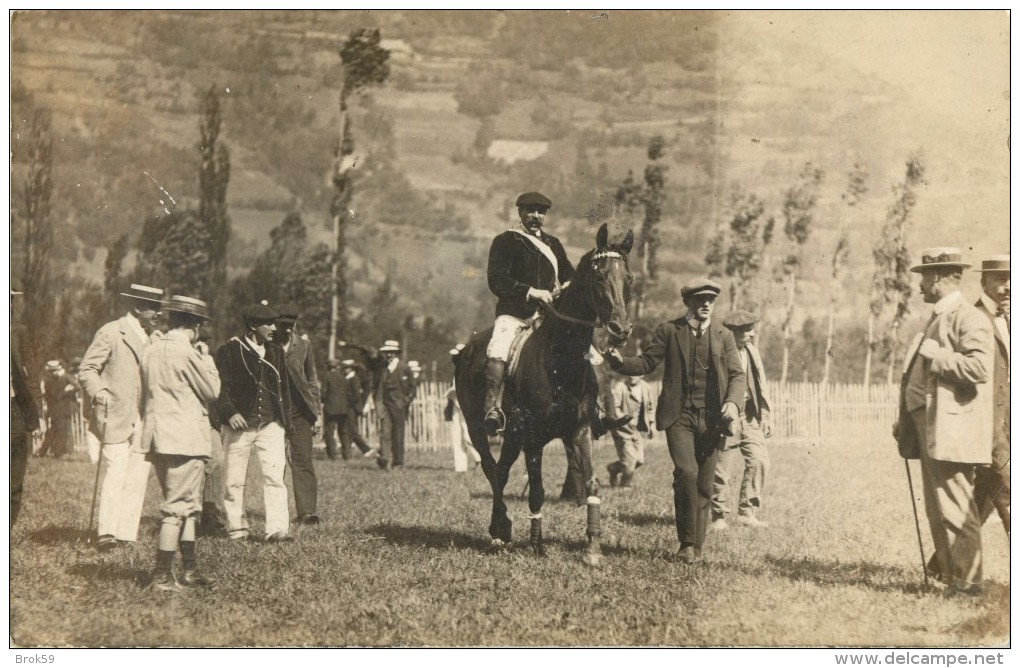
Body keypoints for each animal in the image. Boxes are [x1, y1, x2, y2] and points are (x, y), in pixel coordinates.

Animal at [452, 222, 628, 562]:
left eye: (628, 278)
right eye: (600, 277)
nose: (621, 329)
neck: (560, 357)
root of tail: (465, 350)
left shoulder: (579, 431)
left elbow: (591, 483)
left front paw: (593, 546)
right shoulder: (532, 437)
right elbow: (537, 490)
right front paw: (536, 543)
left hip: (512, 435)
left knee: (501, 471)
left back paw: (501, 528)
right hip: (480, 426)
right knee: (493, 469)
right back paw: (500, 529)